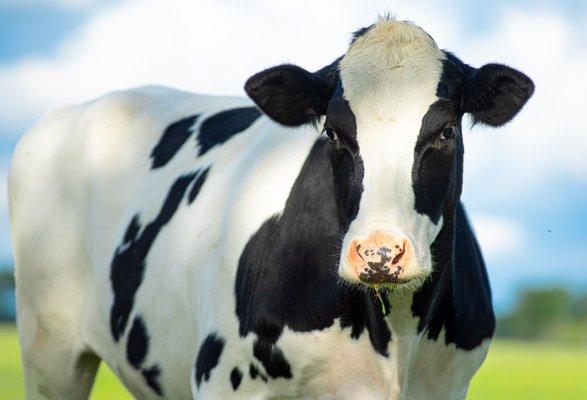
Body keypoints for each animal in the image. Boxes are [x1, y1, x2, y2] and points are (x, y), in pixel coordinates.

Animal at [9, 16, 536, 400]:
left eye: (445, 131)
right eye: (334, 133)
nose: (379, 254)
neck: (393, 338)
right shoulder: (224, 379)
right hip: (48, 348)